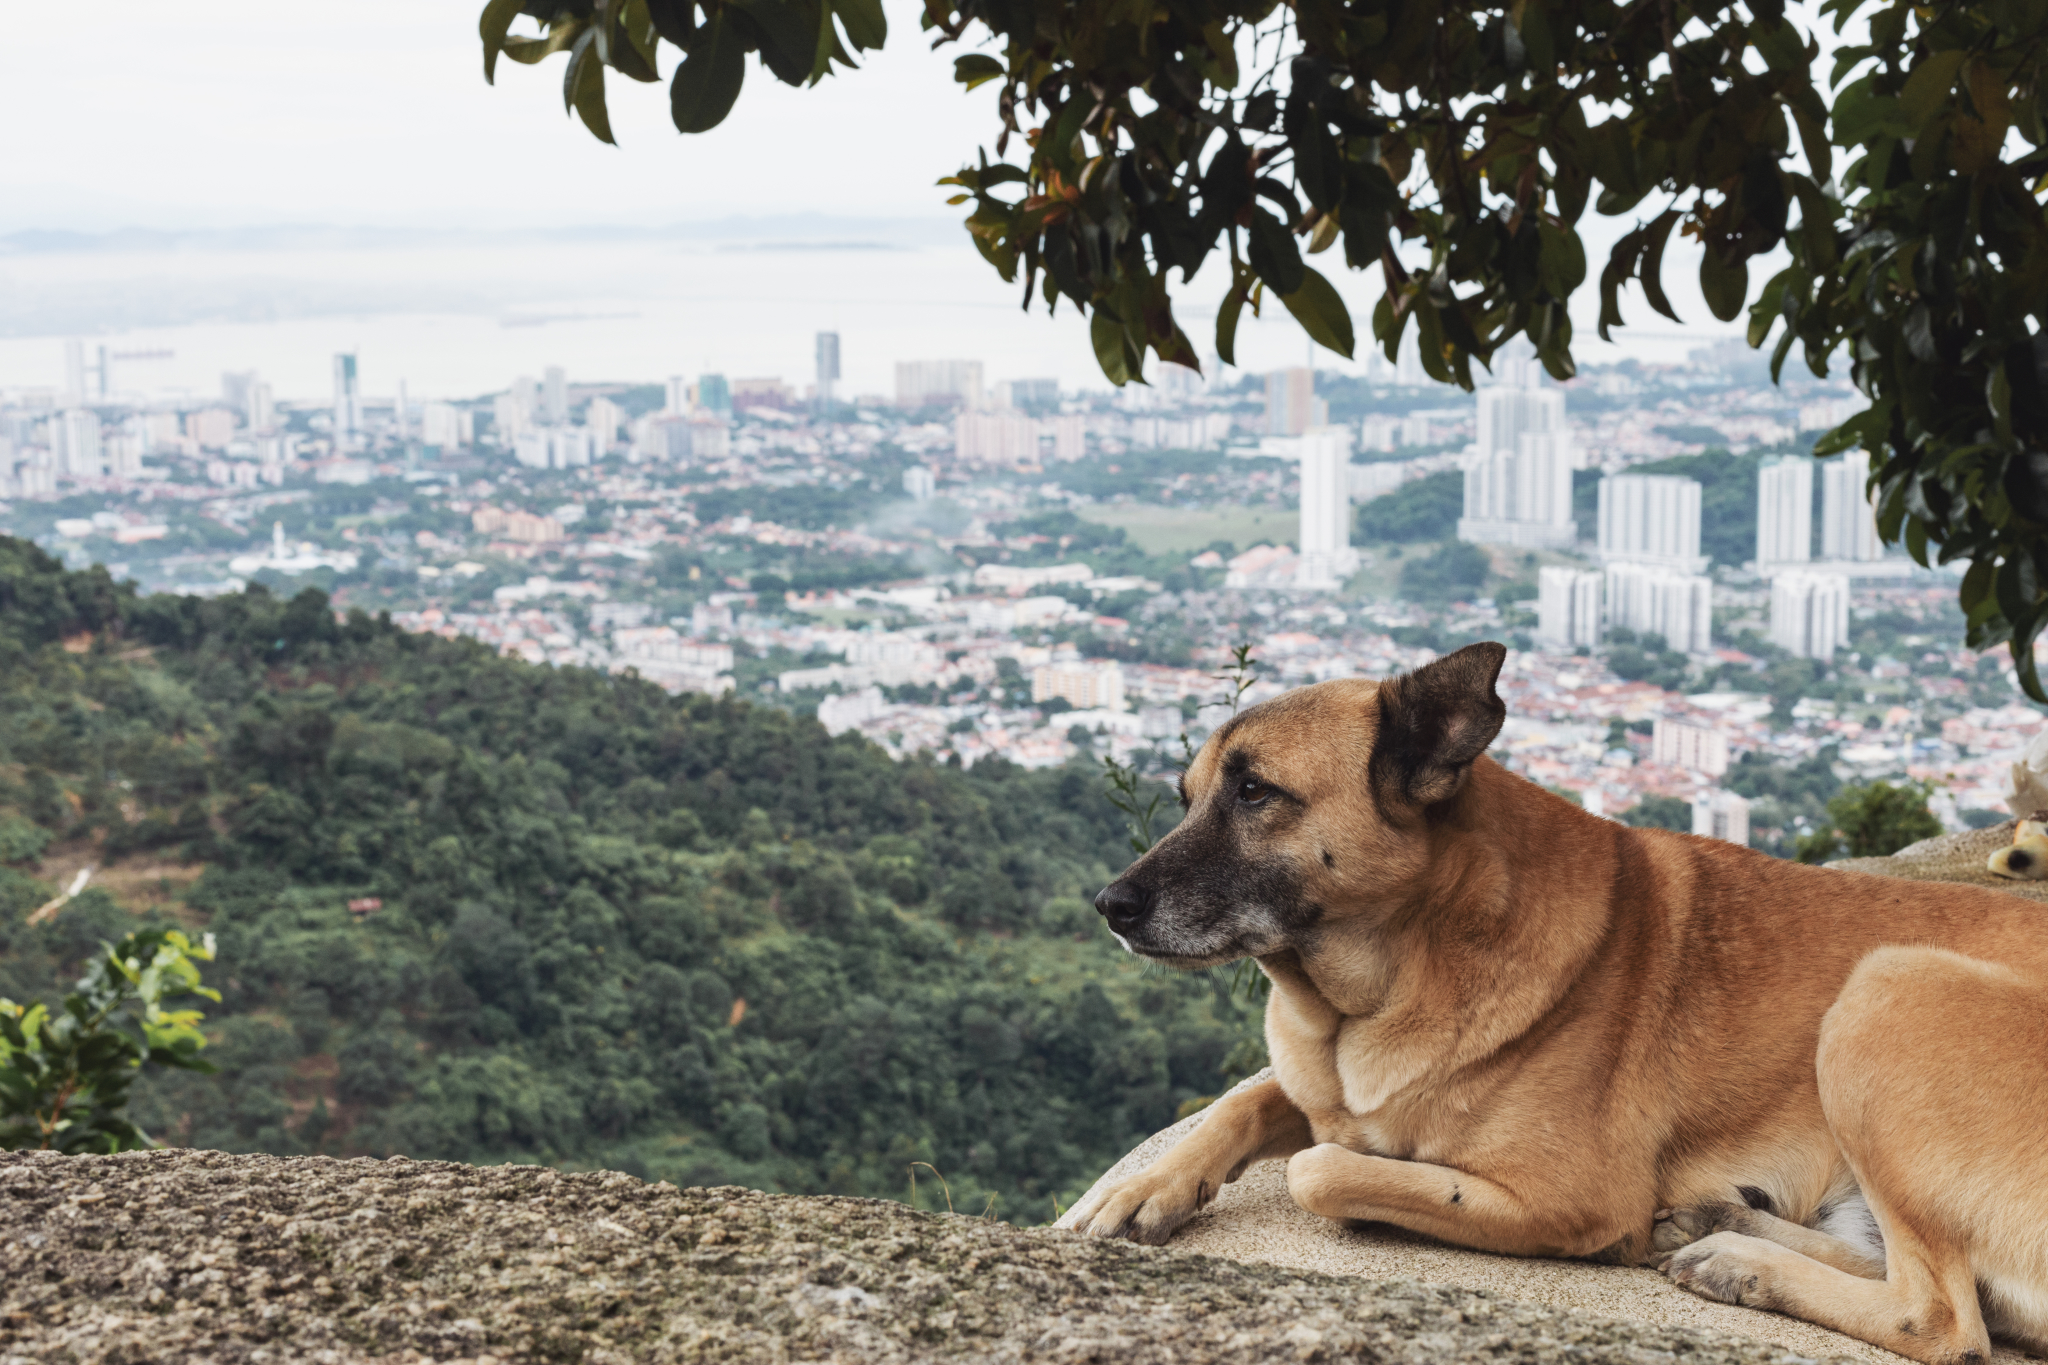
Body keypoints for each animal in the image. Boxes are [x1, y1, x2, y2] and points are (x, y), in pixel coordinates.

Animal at [1073, 646, 2048, 1365]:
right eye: (1189, 795)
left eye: (1255, 791)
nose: (1110, 905)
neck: (1394, 971)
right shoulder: (1320, 1080)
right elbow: (1245, 1099)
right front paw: (1140, 1185)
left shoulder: (1573, 1198)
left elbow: (1323, 1167)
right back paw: (1722, 1224)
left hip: (1887, 987)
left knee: (1943, 1318)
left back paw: (1739, 1261)